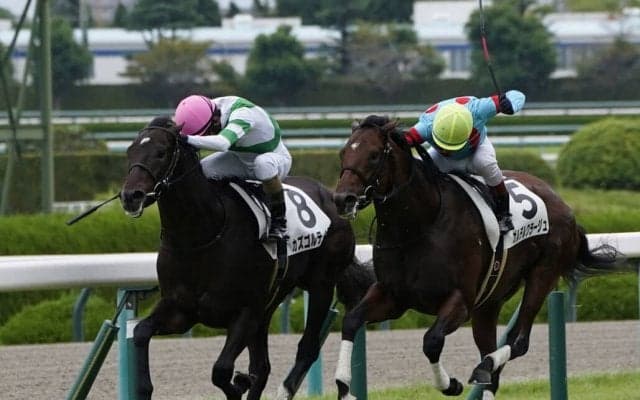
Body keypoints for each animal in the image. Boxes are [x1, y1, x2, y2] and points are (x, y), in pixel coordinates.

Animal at [119, 116, 375, 400]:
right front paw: (143, 387)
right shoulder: (180, 310)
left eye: (161, 152)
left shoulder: (245, 311)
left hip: (321, 285)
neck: (200, 237)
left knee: (306, 348)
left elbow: (221, 370)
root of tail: (331, 196)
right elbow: (140, 332)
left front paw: (240, 383)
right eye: (130, 151)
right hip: (271, 302)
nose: (131, 196)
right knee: (262, 366)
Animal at [332, 115, 625, 400]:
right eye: (343, 152)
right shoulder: (392, 296)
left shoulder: (460, 300)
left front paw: (450, 384)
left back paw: (485, 365)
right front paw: (344, 386)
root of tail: (564, 206)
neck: (420, 224)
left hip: (543, 274)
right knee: (493, 365)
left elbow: (432, 340)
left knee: (518, 342)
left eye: (373, 155)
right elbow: (351, 321)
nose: (343, 198)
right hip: (489, 302)